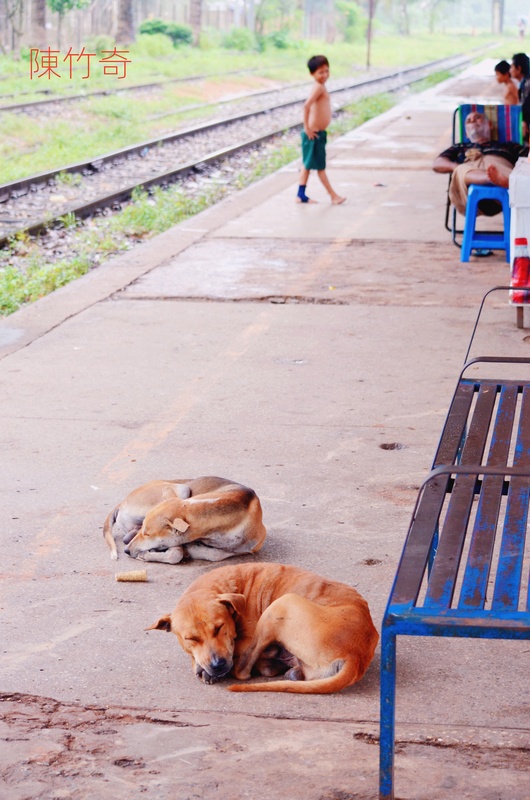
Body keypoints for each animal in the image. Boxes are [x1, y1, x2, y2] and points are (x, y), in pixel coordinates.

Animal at [102, 478, 264, 564]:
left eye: (147, 533)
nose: (127, 551)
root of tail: (122, 502)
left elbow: (215, 554)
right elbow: (177, 553)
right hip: (181, 488)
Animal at [146, 564, 378, 692]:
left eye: (219, 628)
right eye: (191, 639)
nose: (218, 665)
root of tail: (356, 655)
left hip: (280, 605)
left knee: (243, 671)